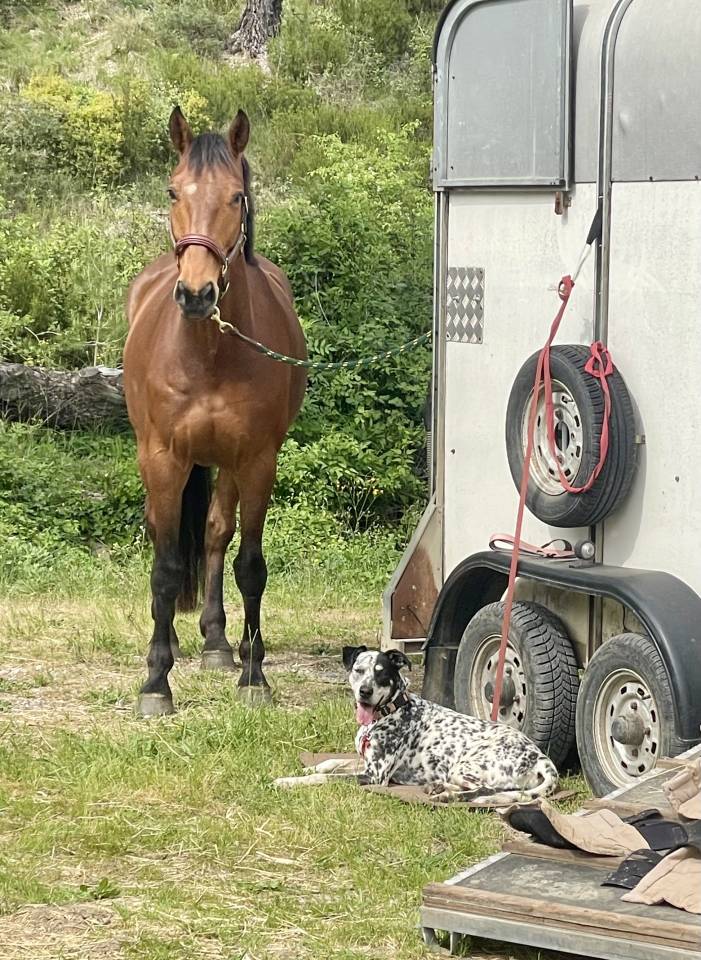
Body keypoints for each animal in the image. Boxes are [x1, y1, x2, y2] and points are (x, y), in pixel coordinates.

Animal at [123, 107, 307, 716]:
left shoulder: (256, 461)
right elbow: (163, 569)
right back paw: (172, 643)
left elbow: (249, 564)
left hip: (226, 465)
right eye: (172, 190)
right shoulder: (162, 459)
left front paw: (253, 674)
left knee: (213, 534)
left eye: (235, 197)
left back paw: (217, 641)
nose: (197, 294)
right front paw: (156, 682)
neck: (207, 353)